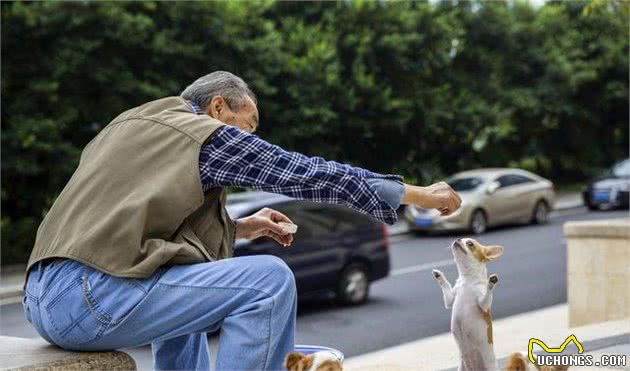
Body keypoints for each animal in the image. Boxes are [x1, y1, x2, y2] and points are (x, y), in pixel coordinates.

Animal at [432, 238, 506, 371]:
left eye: (470, 243)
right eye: (460, 238)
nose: (457, 239)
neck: (468, 279)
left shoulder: (483, 305)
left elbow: (487, 295)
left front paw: (491, 282)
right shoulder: (450, 300)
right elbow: (446, 287)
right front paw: (439, 276)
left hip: (491, 367)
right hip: (461, 367)